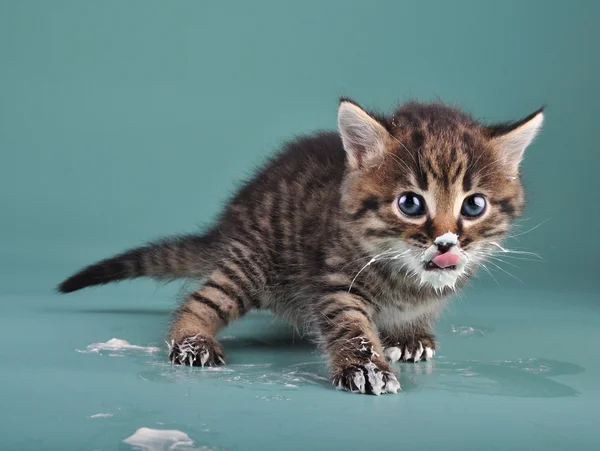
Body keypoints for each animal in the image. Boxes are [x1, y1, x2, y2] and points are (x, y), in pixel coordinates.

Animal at [57, 98, 544, 396]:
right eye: (410, 203)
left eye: (474, 205)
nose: (445, 242)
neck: (407, 279)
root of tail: (232, 216)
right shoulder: (334, 277)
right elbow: (351, 326)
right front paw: (365, 367)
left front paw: (411, 335)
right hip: (252, 261)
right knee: (201, 299)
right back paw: (192, 339)